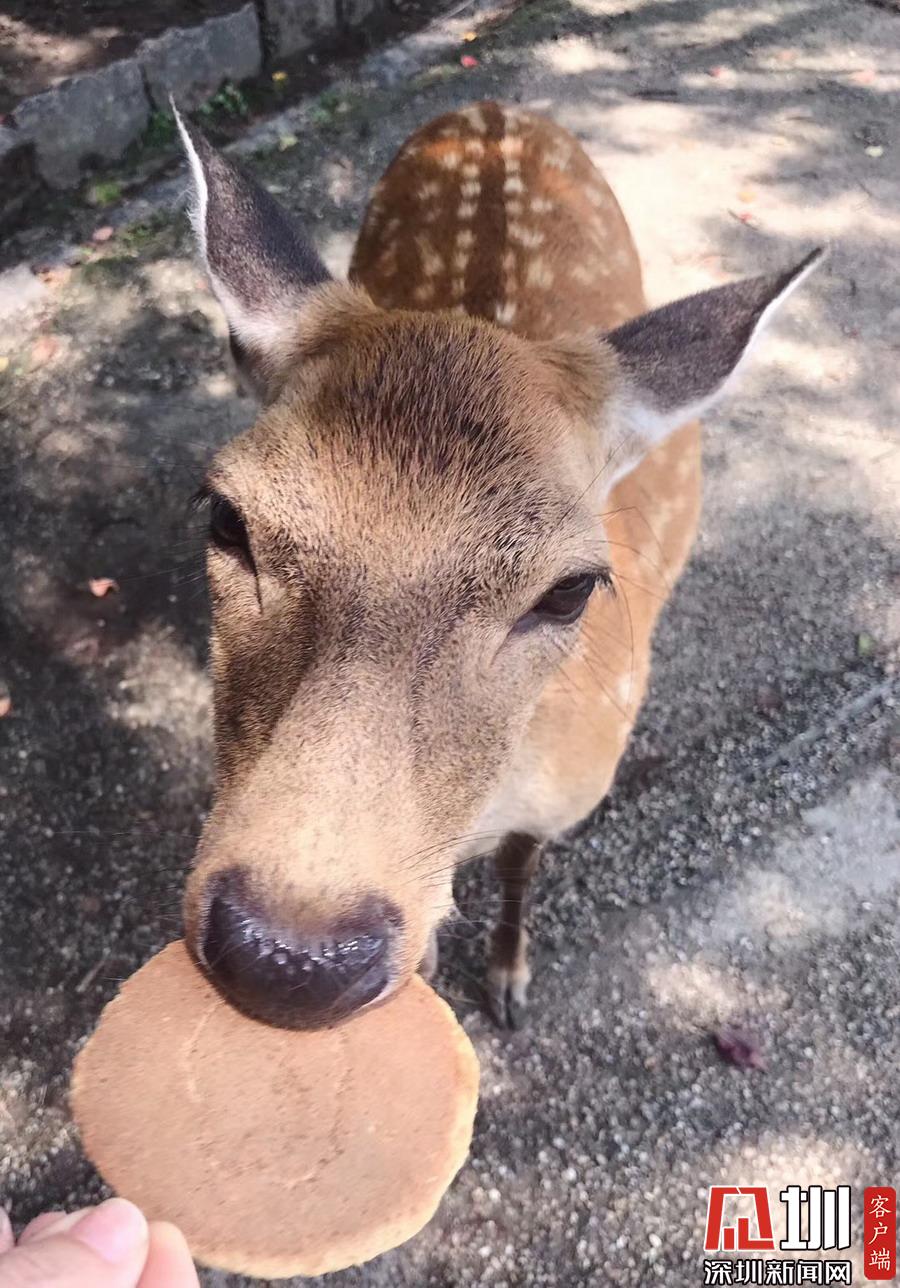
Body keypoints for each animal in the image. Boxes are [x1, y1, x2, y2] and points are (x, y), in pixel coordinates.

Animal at [174, 101, 821, 1031]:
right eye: (226, 515)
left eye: (571, 589)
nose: (291, 959)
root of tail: (492, 108)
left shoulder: (571, 785)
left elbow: (522, 865)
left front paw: (510, 981)